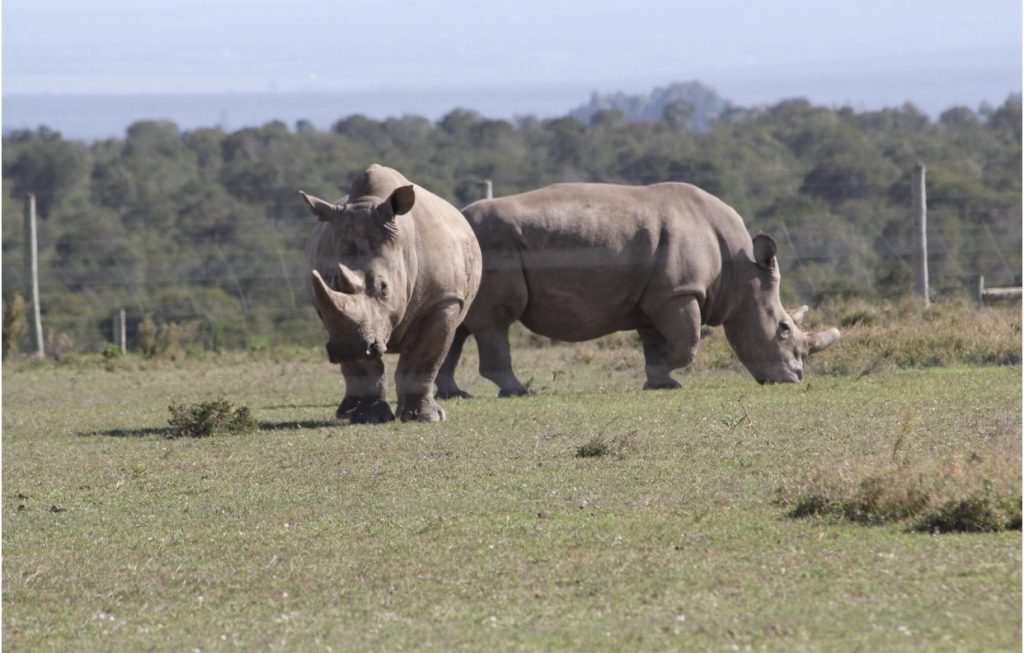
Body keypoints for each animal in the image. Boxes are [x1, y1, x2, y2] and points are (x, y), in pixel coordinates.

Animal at [301, 164, 481, 425]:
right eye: (330, 280)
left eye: (384, 287)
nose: (347, 348)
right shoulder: (327, 308)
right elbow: (363, 368)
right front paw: (369, 418)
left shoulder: (443, 300)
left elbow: (423, 359)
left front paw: (425, 418)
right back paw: (346, 413)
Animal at [434, 184, 839, 399]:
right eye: (783, 328)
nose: (794, 377)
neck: (741, 271)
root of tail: (458, 220)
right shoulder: (679, 293)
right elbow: (689, 343)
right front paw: (664, 375)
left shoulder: (657, 297)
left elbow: (656, 342)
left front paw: (662, 383)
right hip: (493, 246)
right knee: (494, 322)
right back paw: (518, 391)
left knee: (458, 325)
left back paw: (454, 394)